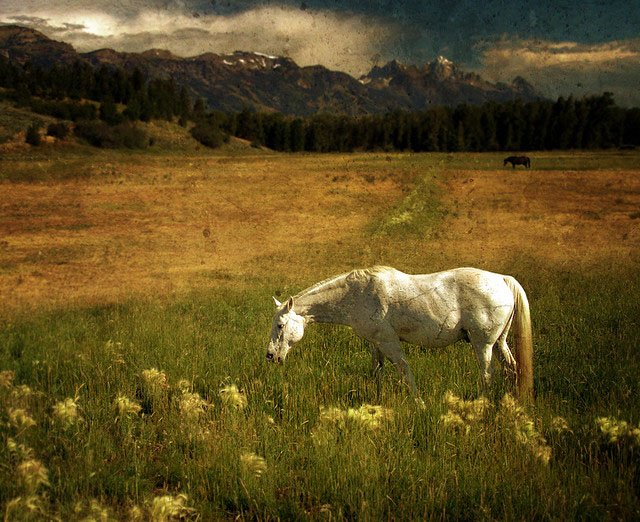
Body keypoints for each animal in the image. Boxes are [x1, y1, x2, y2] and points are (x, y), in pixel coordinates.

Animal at [266, 268, 536, 398]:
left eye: (280, 326)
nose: (270, 356)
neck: (356, 294)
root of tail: (503, 279)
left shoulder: (389, 342)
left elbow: (406, 373)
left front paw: (419, 404)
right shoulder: (376, 344)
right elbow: (377, 373)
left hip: (483, 345)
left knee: (487, 374)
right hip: (499, 343)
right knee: (512, 369)